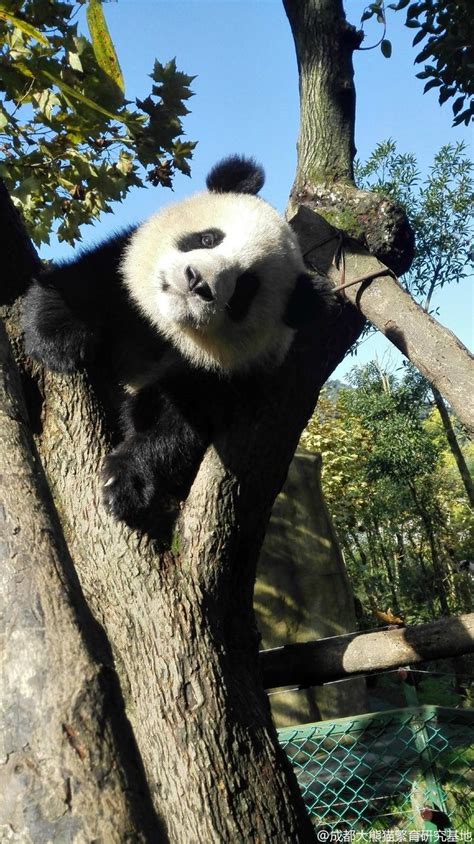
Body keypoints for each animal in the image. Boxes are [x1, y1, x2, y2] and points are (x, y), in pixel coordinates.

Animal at [23, 155, 334, 532]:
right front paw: (56, 338)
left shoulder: (221, 378)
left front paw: (124, 481)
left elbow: (179, 426)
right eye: (208, 238)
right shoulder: (124, 276)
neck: (164, 331)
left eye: (245, 289)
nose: (196, 281)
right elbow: (88, 279)